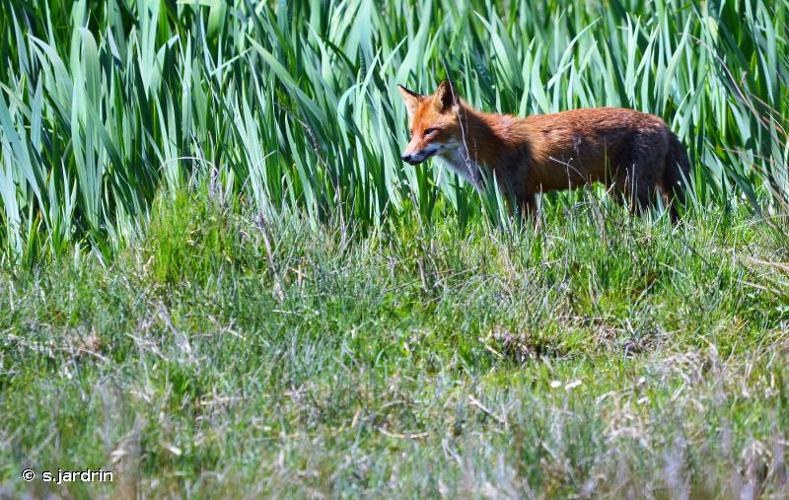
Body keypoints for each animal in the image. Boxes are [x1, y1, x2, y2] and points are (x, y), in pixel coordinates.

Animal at [398, 80, 688, 217]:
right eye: (412, 133)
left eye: (430, 131)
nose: (405, 157)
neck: (488, 144)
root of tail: (662, 122)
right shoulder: (507, 197)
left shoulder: (522, 196)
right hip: (621, 191)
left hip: (630, 190)